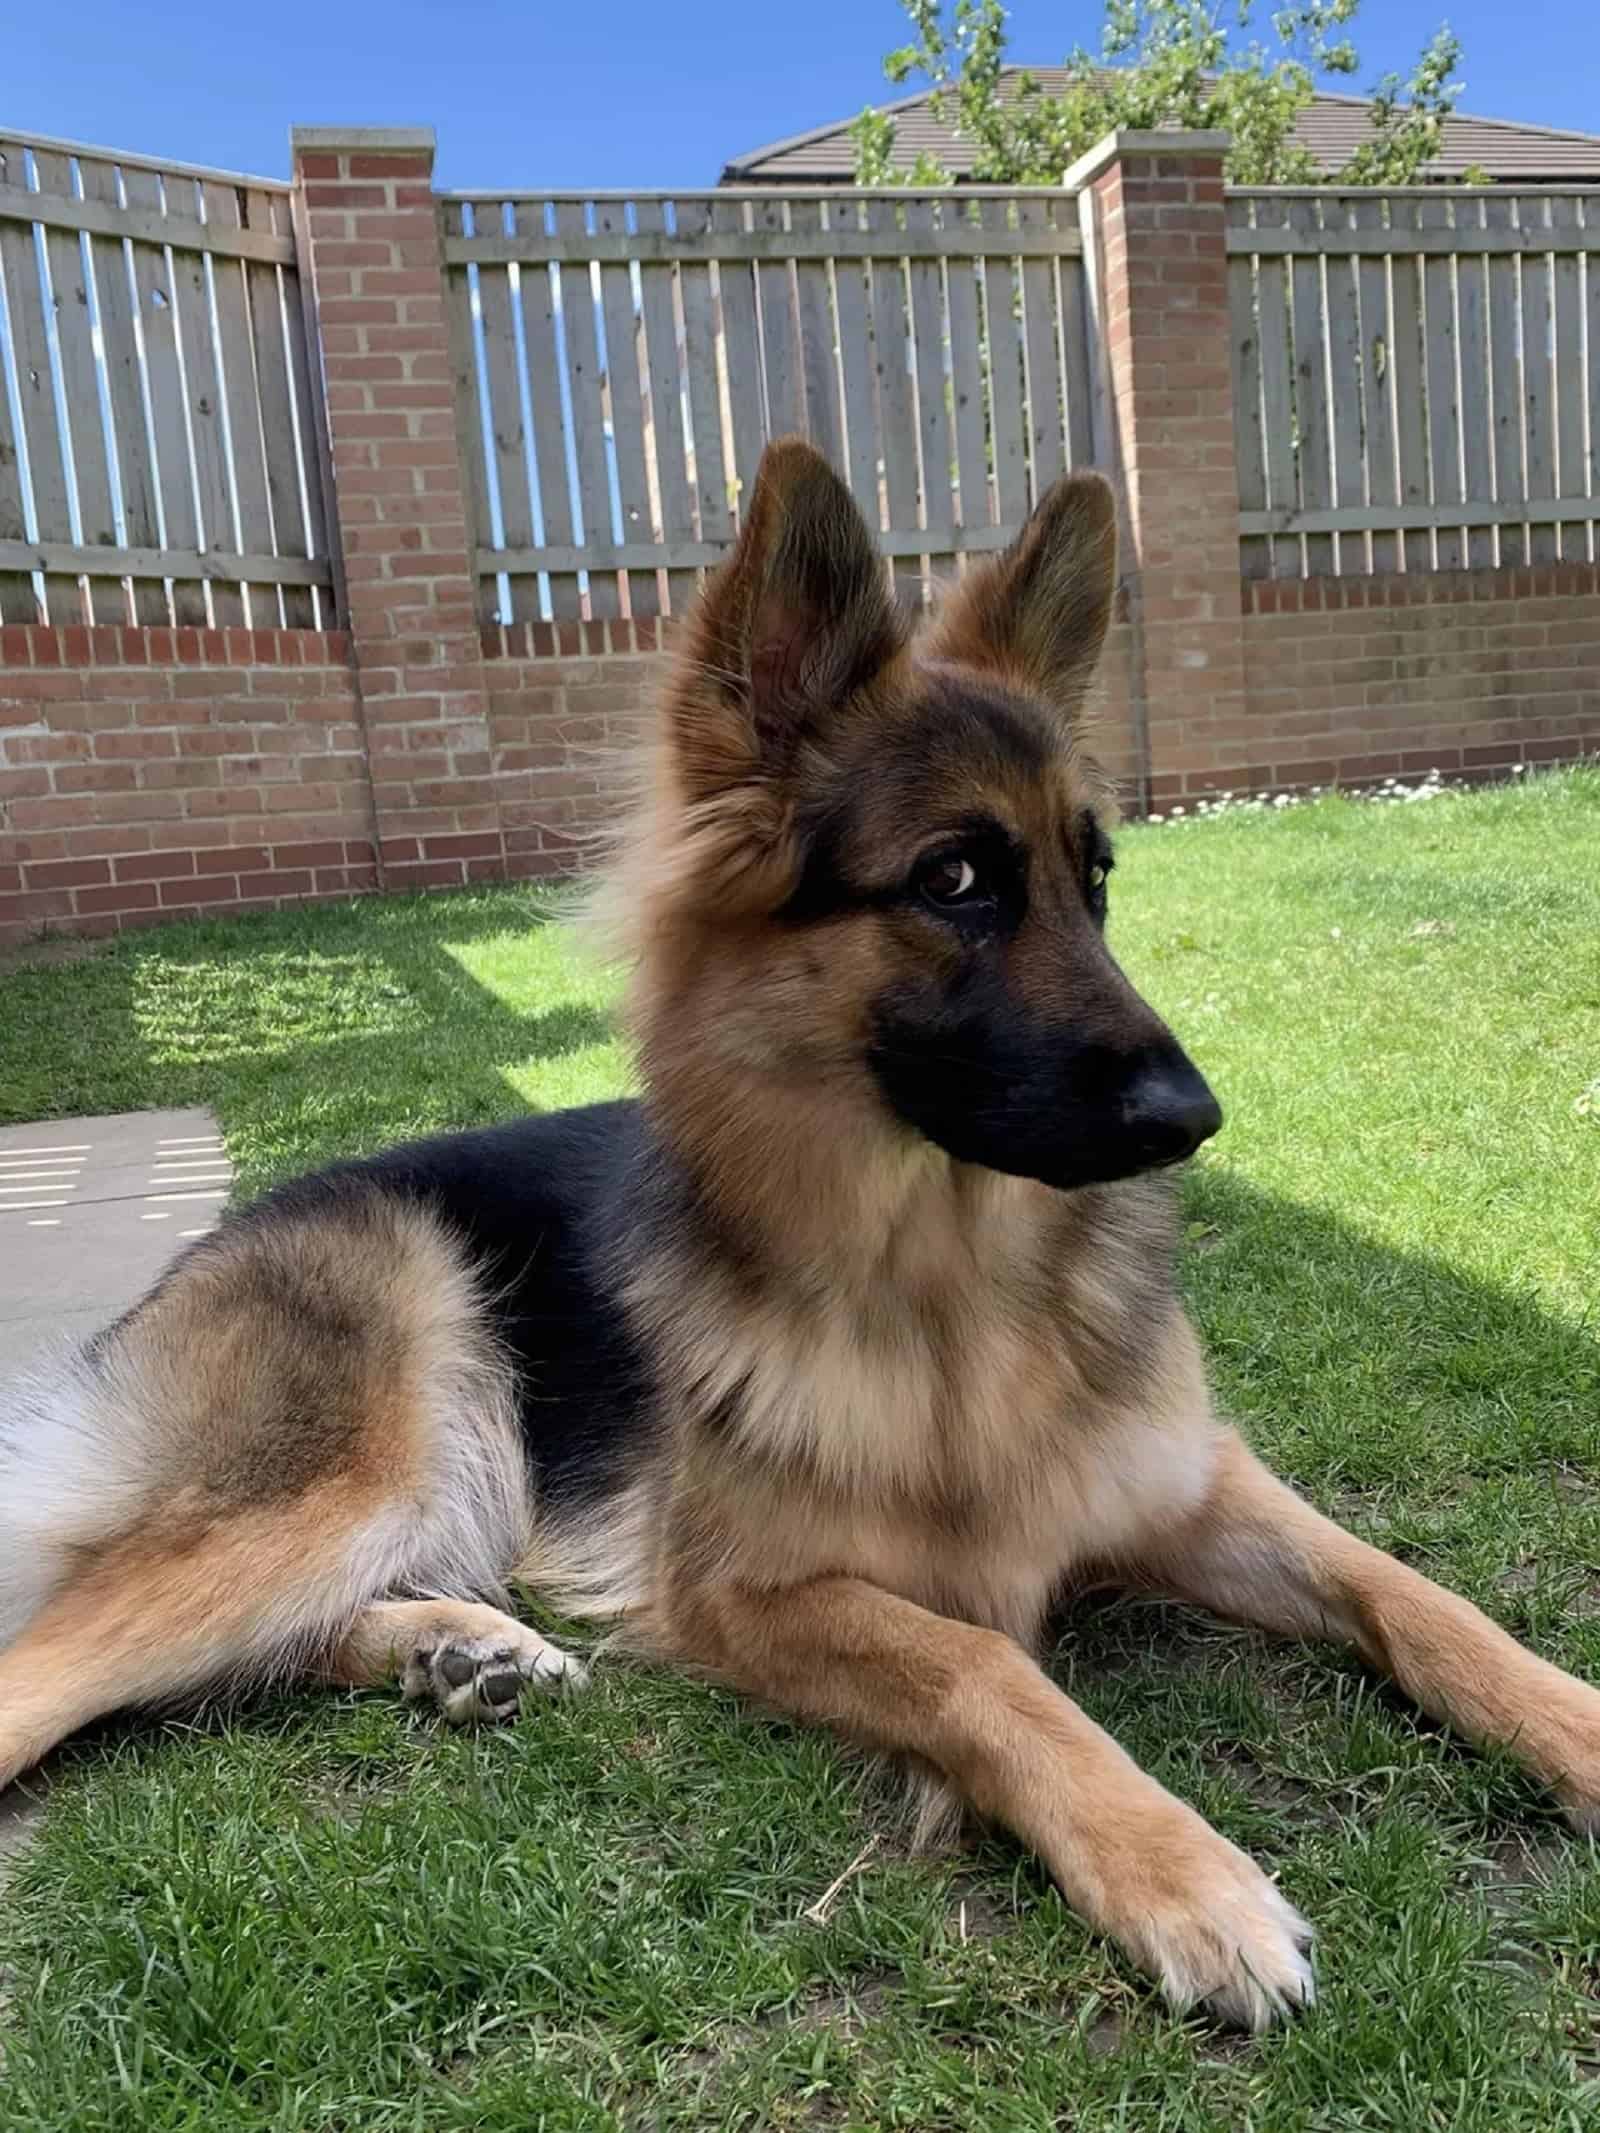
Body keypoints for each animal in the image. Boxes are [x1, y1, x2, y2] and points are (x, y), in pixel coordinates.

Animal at [3, 441, 1600, 2022]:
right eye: (954, 880)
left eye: (1094, 879)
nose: (1194, 1118)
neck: (958, 1298)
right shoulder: (753, 1594)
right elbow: (984, 1663)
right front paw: (1181, 1870)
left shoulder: (1197, 1485)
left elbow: (1417, 1595)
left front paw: (1572, 1722)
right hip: (371, 1444)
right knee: (60, 1651)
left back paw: (459, 1648)